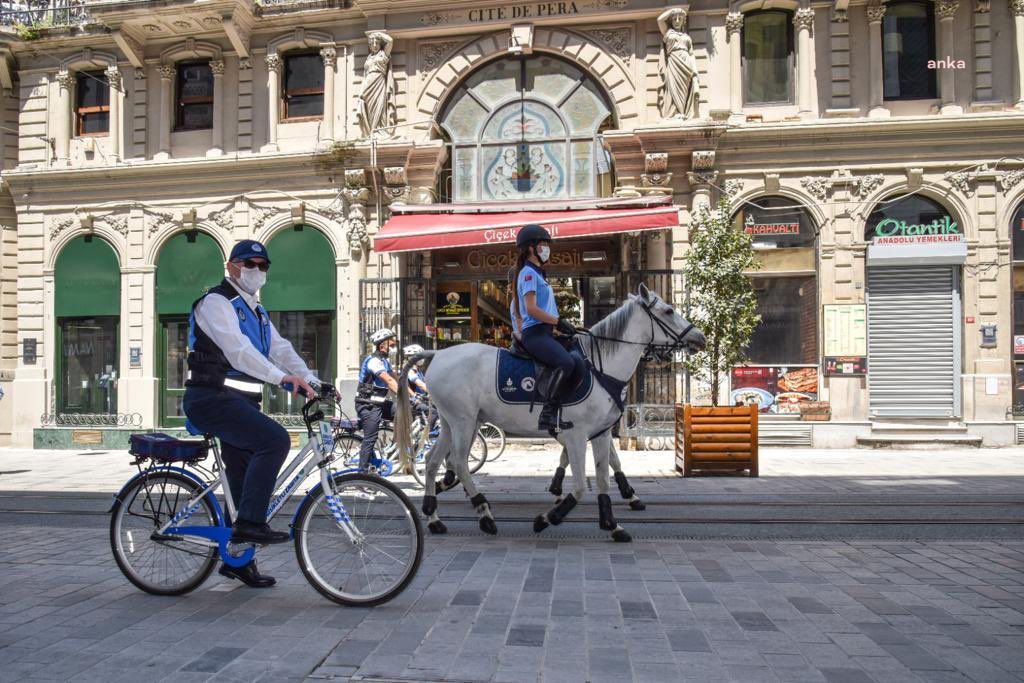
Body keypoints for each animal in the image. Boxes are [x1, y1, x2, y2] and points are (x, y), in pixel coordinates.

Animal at [395, 286, 708, 540]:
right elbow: (580, 485)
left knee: (434, 461)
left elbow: (604, 476)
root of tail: (437, 354)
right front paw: (547, 518)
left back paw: (434, 517)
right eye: (668, 310)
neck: (601, 368)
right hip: (464, 421)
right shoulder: (577, 434)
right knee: (458, 463)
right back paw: (483, 513)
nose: (700, 338)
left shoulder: (600, 433)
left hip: (452, 422)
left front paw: (612, 524)